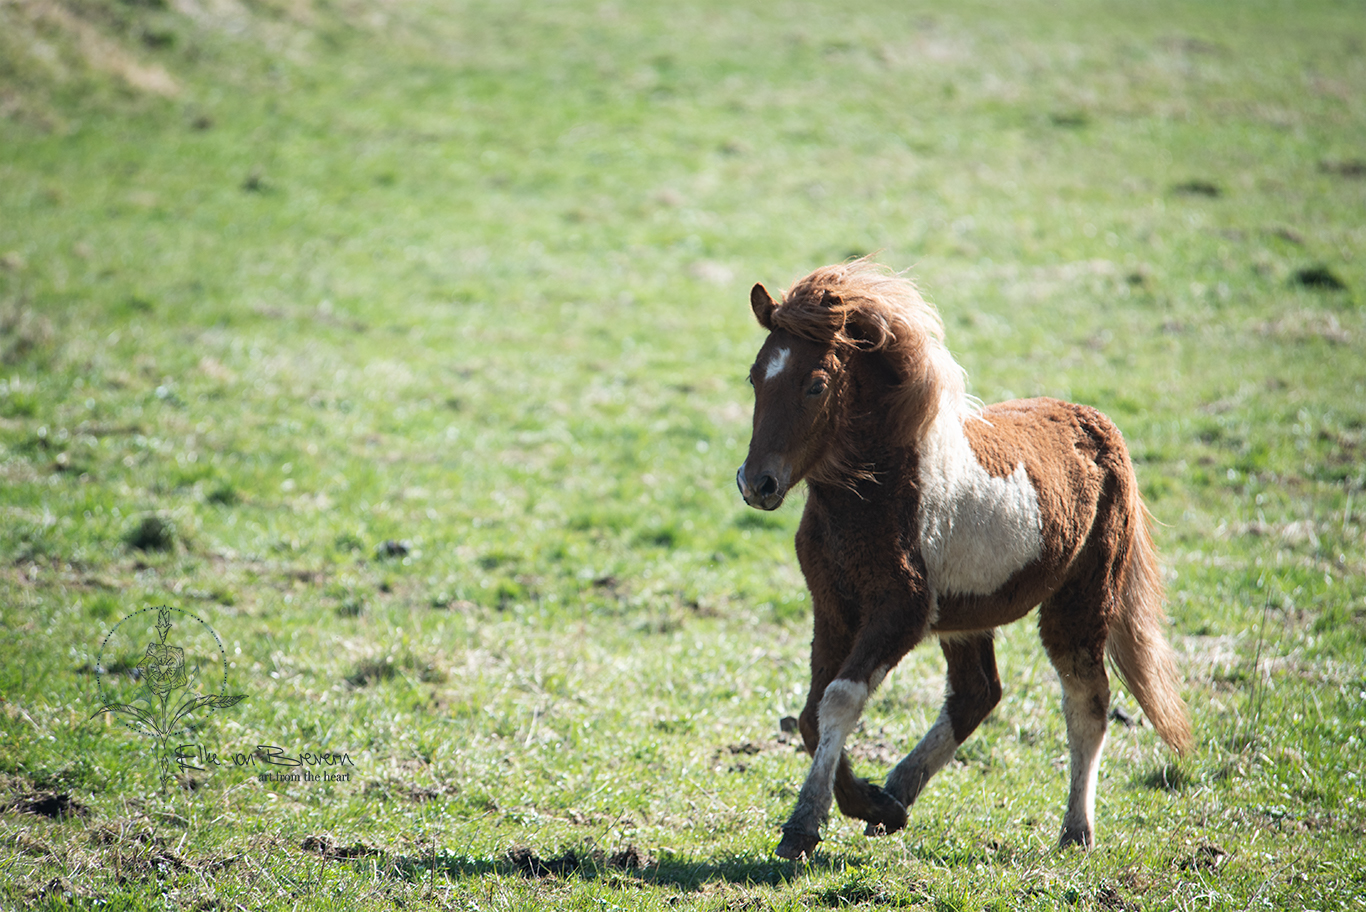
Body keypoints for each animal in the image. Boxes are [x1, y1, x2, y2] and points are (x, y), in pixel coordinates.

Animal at [735, 259, 1191, 860]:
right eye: (755, 376)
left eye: (816, 384)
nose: (756, 483)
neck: (875, 493)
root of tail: (1098, 424)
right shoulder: (832, 606)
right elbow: (812, 713)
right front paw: (871, 805)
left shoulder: (900, 611)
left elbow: (838, 701)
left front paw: (804, 824)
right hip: (968, 613)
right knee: (978, 693)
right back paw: (898, 793)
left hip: (1081, 601)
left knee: (1086, 701)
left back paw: (1076, 832)